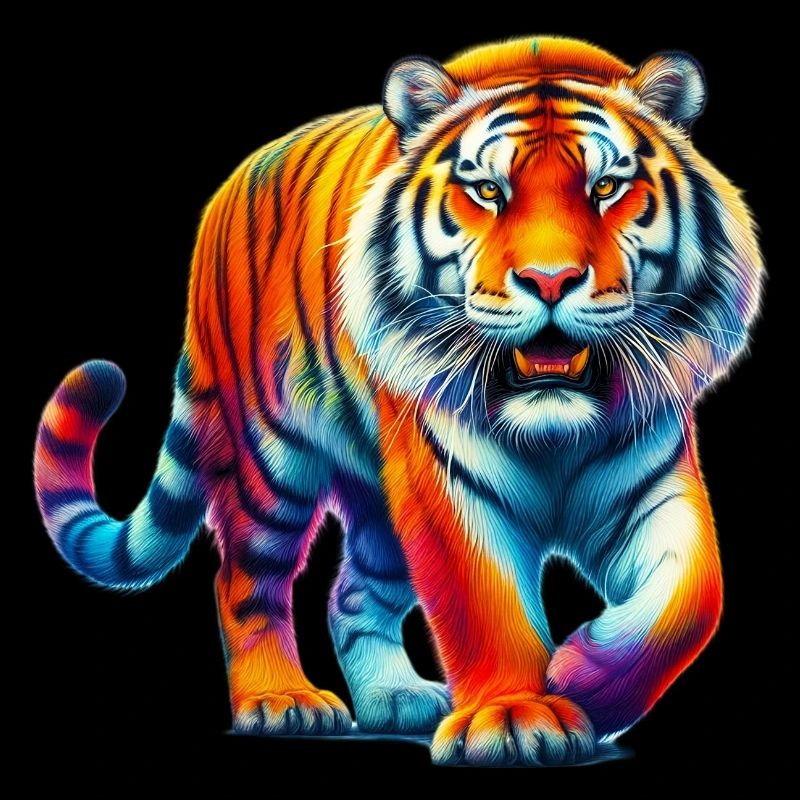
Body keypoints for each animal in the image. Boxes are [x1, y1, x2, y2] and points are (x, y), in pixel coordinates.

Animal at [34, 36, 762, 766]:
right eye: (488, 192)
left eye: (605, 187)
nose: (550, 280)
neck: (553, 425)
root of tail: (228, 190)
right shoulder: (445, 485)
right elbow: (483, 606)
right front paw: (517, 715)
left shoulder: (654, 481)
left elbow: (694, 599)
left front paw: (585, 681)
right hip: (271, 458)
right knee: (244, 578)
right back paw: (281, 701)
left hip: (379, 502)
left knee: (351, 592)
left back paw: (396, 697)